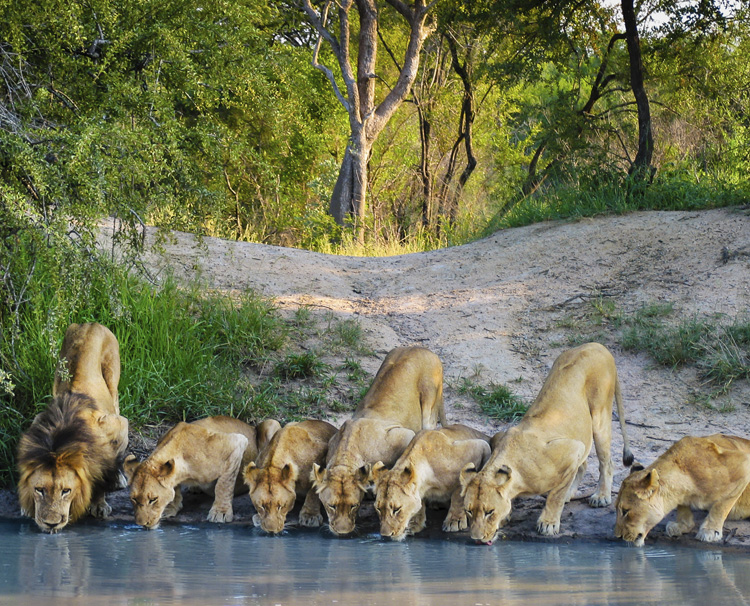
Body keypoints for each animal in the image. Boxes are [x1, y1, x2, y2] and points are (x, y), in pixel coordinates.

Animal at [17, 326, 128, 536]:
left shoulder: (118, 427)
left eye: (66, 491)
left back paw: (119, 479)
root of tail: (91, 324)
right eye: (39, 489)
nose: (51, 524)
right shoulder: (38, 421)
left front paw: (99, 504)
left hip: (113, 383)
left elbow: (104, 468)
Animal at [125, 416, 280, 528]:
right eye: (134, 499)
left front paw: (220, 512)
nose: (142, 524)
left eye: (153, 499)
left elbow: (224, 484)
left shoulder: (237, 443)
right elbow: (174, 487)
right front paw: (171, 507)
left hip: (272, 423)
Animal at [312, 346, 446, 536]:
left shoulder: (404, 435)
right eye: (331, 506)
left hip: (429, 404)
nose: (342, 533)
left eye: (354, 506)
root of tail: (422, 347)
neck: (346, 452)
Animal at [462, 342, 632, 548]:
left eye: (489, 512)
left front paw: (548, 523)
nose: (476, 539)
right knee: (583, 464)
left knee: (606, 461)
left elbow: (555, 496)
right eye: (469, 511)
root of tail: (596, 344)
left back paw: (601, 496)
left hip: (600, 415)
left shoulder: (571, 449)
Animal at [612, 434, 750, 548]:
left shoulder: (743, 465)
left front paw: (710, 531)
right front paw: (682, 526)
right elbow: (683, 506)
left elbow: (721, 506)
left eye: (625, 511)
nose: (618, 536)